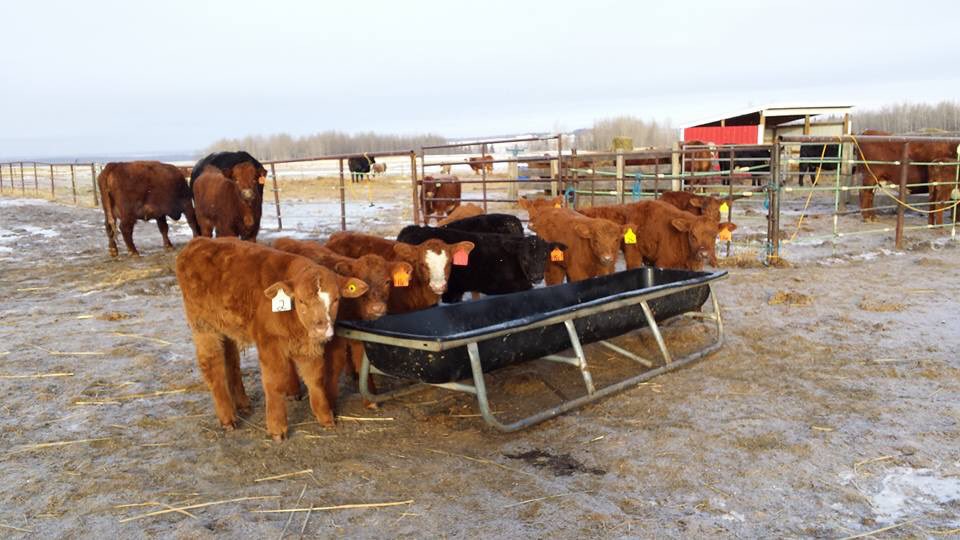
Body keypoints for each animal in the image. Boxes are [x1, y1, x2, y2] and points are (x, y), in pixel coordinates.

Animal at [175, 237, 369, 441]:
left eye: (336, 299)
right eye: (301, 301)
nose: (321, 328)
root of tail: (197, 242)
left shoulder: (308, 347)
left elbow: (315, 378)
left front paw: (325, 417)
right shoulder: (270, 344)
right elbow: (274, 383)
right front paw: (277, 428)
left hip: (227, 328)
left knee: (232, 362)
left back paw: (242, 404)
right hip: (204, 327)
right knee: (213, 366)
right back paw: (227, 417)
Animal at [271, 237, 411, 410]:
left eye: (387, 281)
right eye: (363, 283)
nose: (377, 308)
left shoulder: (360, 336)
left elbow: (361, 361)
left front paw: (370, 399)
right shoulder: (332, 339)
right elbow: (334, 367)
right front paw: (330, 402)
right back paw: (293, 391)